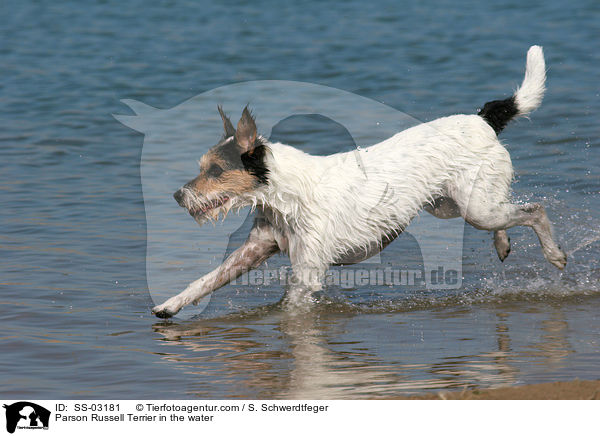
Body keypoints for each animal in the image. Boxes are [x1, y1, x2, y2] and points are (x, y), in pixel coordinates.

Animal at [152, 46, 564, 318]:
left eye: (216, 171)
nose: (176, 195)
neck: (284, 194)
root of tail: (482, 120)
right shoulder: (256, 249)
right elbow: (206, 280)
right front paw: (169, 305)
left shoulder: (307, 272)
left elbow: (291, 308)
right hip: (453, 205)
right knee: (506, 212)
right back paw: (503, 243)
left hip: (476, 207)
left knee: (533, 209)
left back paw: (554, 253)